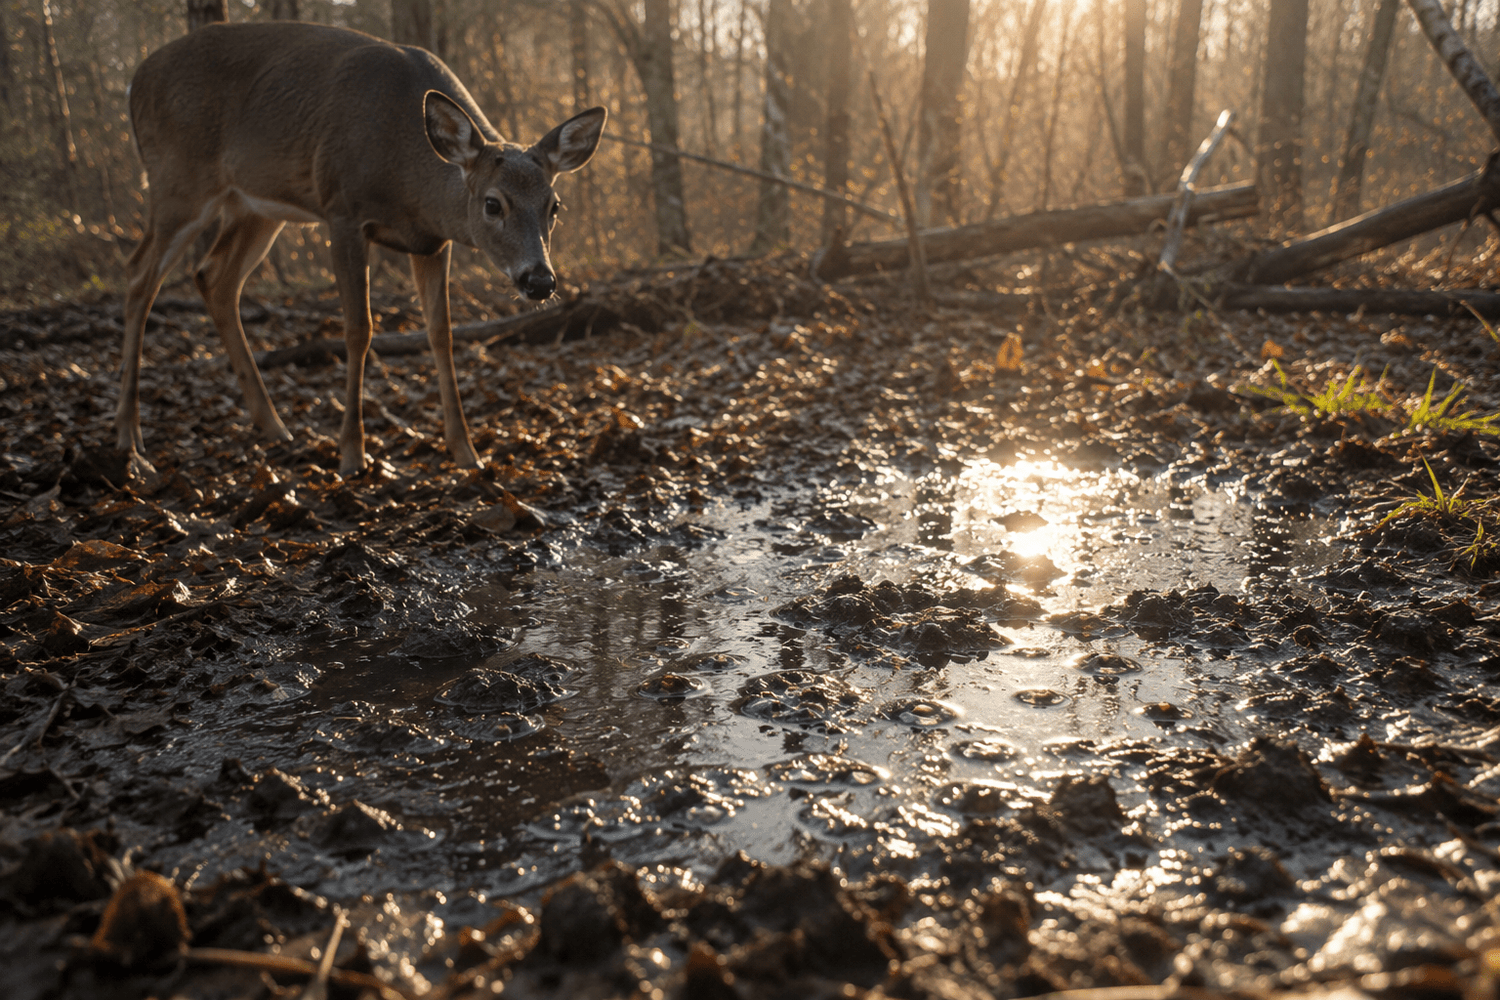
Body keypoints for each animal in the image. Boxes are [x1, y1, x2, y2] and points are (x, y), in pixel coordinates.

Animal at [116, 21, 607, 476]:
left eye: (554, 206)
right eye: (492, 203)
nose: (539, 280)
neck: (407, 177)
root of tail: (135, 78)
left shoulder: (431, 242)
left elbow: (441, 333)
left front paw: (466, 451)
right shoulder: (343, 211)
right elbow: (358, 329)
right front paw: (352, 453)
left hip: (254, 205)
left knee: (214, 277)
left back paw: (273, 425)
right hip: (178, 180)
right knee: (139, 275)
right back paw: (131, 441)